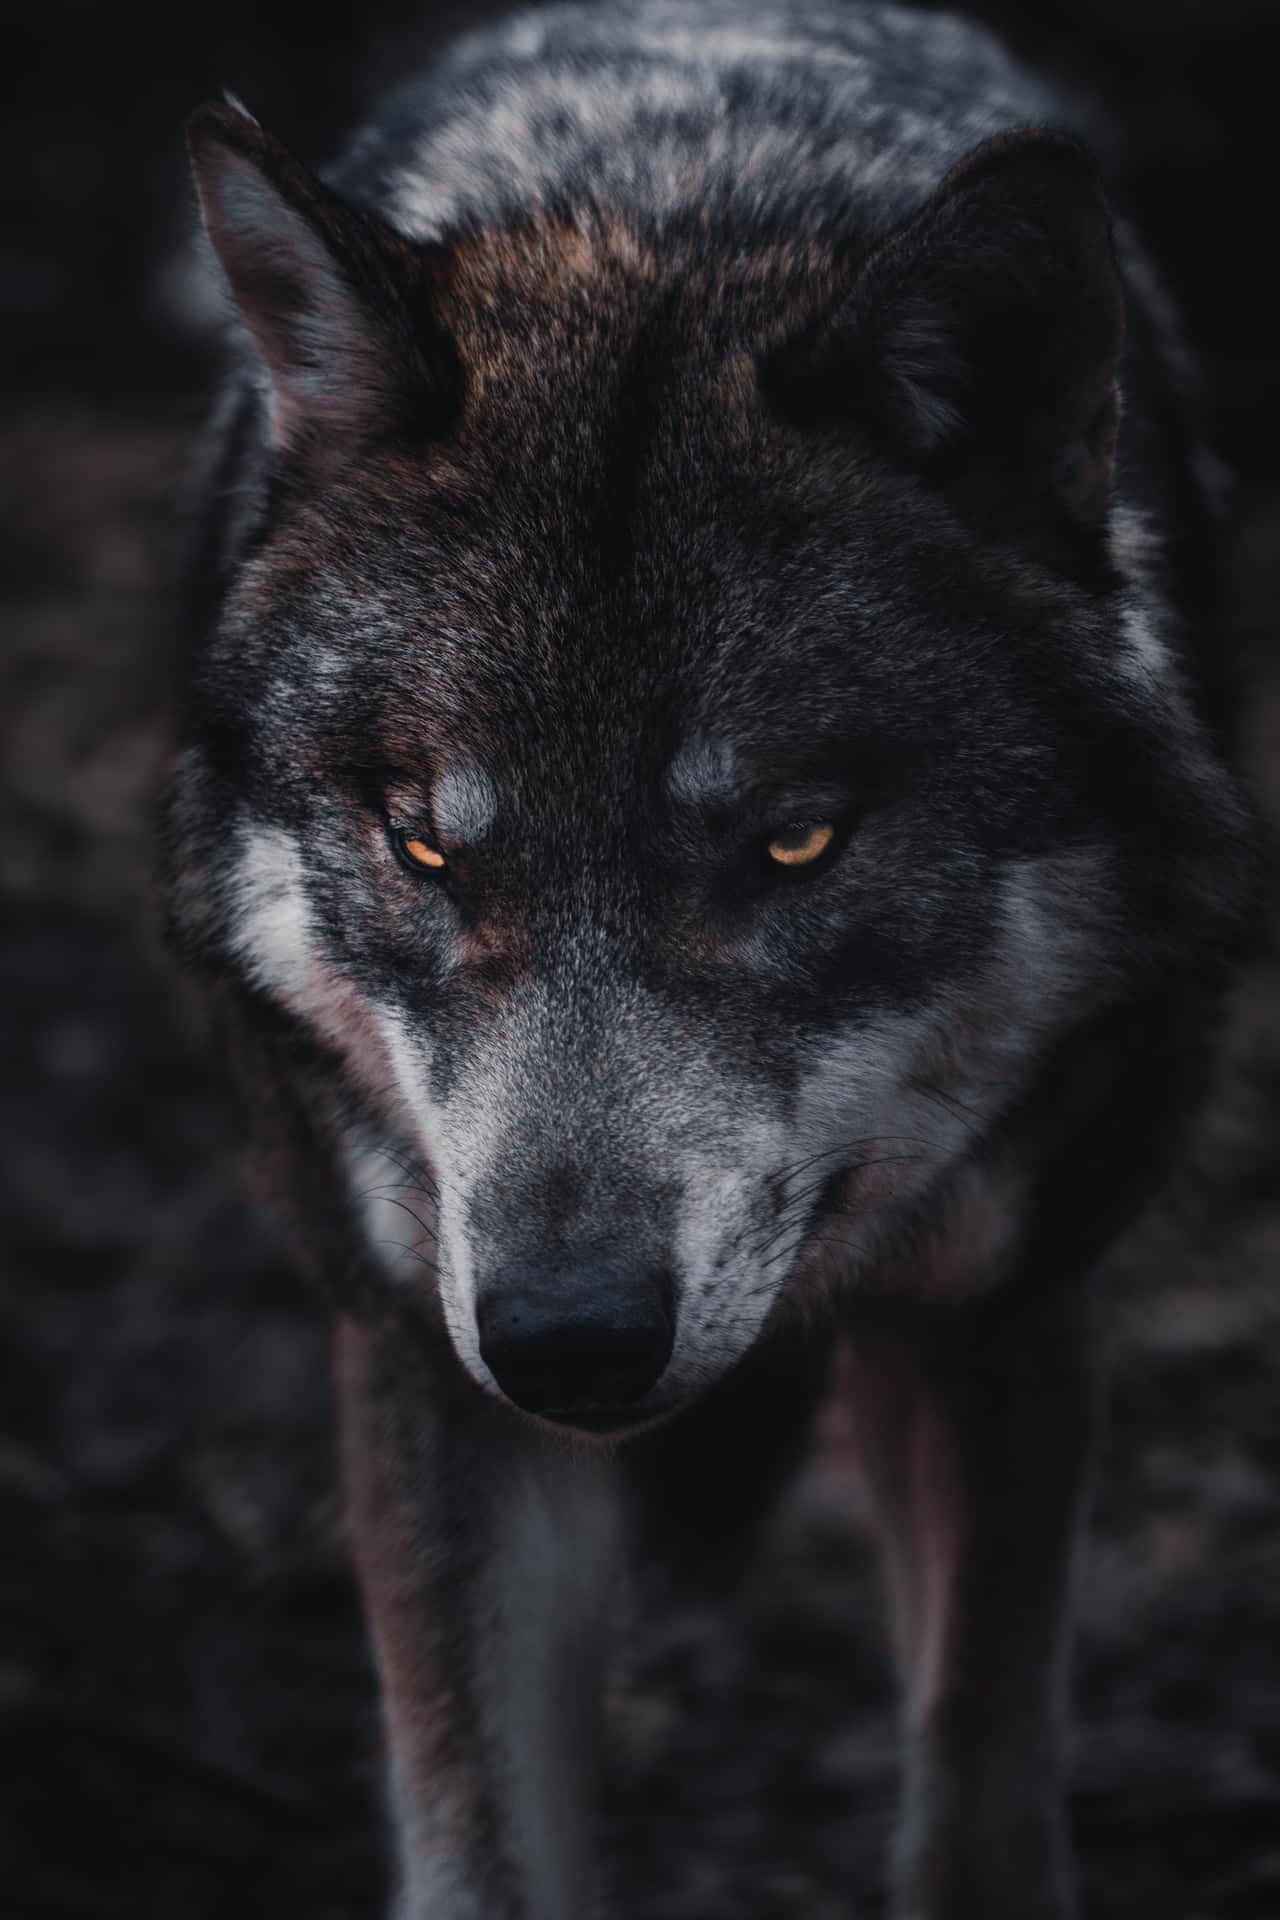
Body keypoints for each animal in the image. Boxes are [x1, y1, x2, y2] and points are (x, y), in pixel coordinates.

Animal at [169, 2, 1260, 1914]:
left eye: (794, 843)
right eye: (427, 845)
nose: (566, 1337)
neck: (673, 208)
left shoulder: (1011, 1313)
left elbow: (978, 1788)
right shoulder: (419, 1355)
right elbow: (481, 1844)